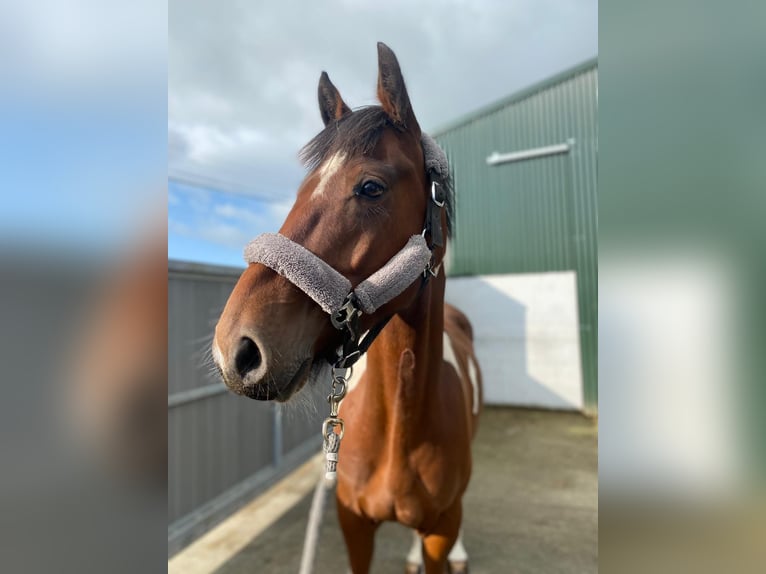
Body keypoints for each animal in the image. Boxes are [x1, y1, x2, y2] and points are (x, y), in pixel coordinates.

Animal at [213, 42, 484, 572]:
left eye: (371, 187)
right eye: (300, 191)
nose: (236, 349)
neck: (401, 427)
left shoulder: (441, 528)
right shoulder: (353, 526)